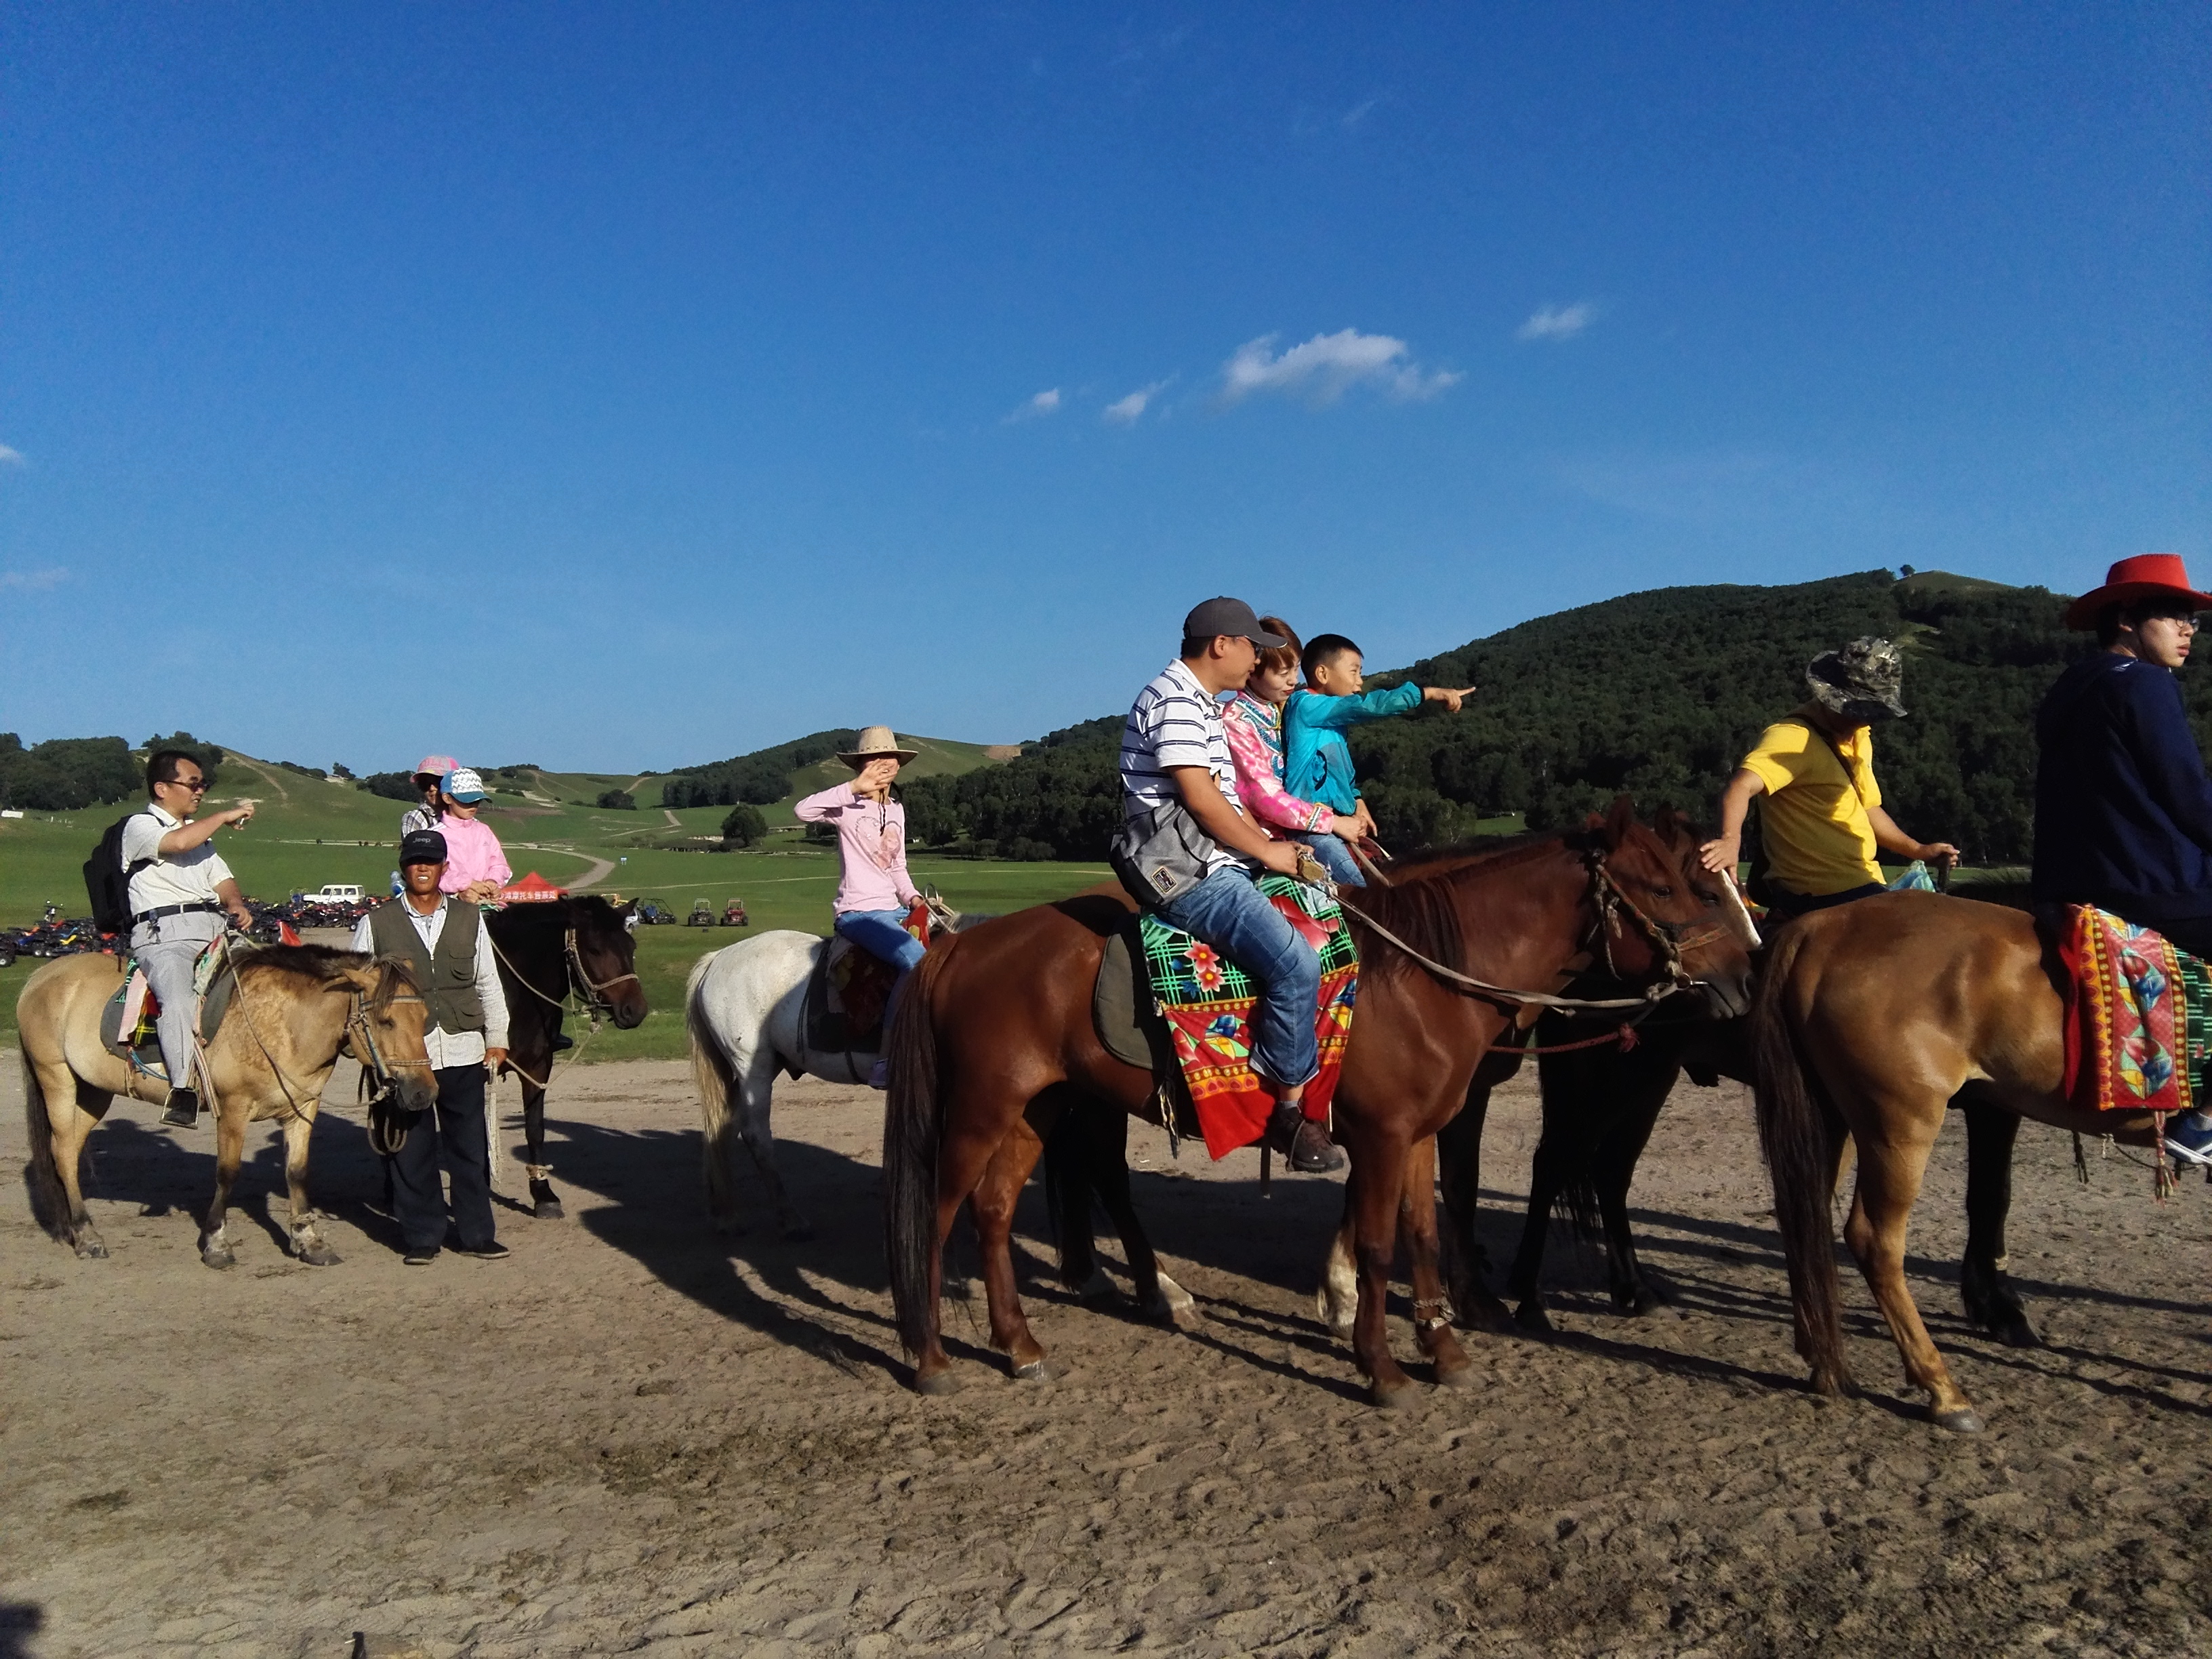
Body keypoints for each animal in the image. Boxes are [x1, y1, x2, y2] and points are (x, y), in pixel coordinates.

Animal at [20, 946, 436, 1274]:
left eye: (424, 1018)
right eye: (386, 1021)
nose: (424, 1093)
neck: (281, 1023)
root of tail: (42, 975)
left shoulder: (303, 1108)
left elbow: (297, 1172)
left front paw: (309, 1241)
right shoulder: (233, 1110)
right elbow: (228, 1174)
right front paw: (217, 1244)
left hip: (92, 1092)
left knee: (69, 1151)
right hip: (56, 1078)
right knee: (62, 1152)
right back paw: (86, 1236)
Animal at [487, 898, 646, 1221]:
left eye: (631, 945)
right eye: (595, 949)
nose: (635, 1010)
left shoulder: (537, 1067)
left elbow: (535, 1129)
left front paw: (543, 1194)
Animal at [880, 800, 1761, 1406]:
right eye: (1667, 885)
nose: (1742, 977)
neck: (1424, 974)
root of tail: (963, 945)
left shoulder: (1420, 1133)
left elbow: (1422, 1233)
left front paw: (1444, 1350)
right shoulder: (1380, 1136)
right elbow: (1375, 1244)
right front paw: (1381, 1365)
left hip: (1040, 1106)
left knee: (996, 1212)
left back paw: (1021, 1344)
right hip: (982, 1110)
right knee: (939, 1214)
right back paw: (932, 1358)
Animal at [1761, 889, 2176, 1433]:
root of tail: (1820, 927)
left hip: (1833, 1121)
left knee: (1805, 1225)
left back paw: (1822, 1360)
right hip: (1900, 1128)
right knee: (1874, 1242)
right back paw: (1941, 1388)